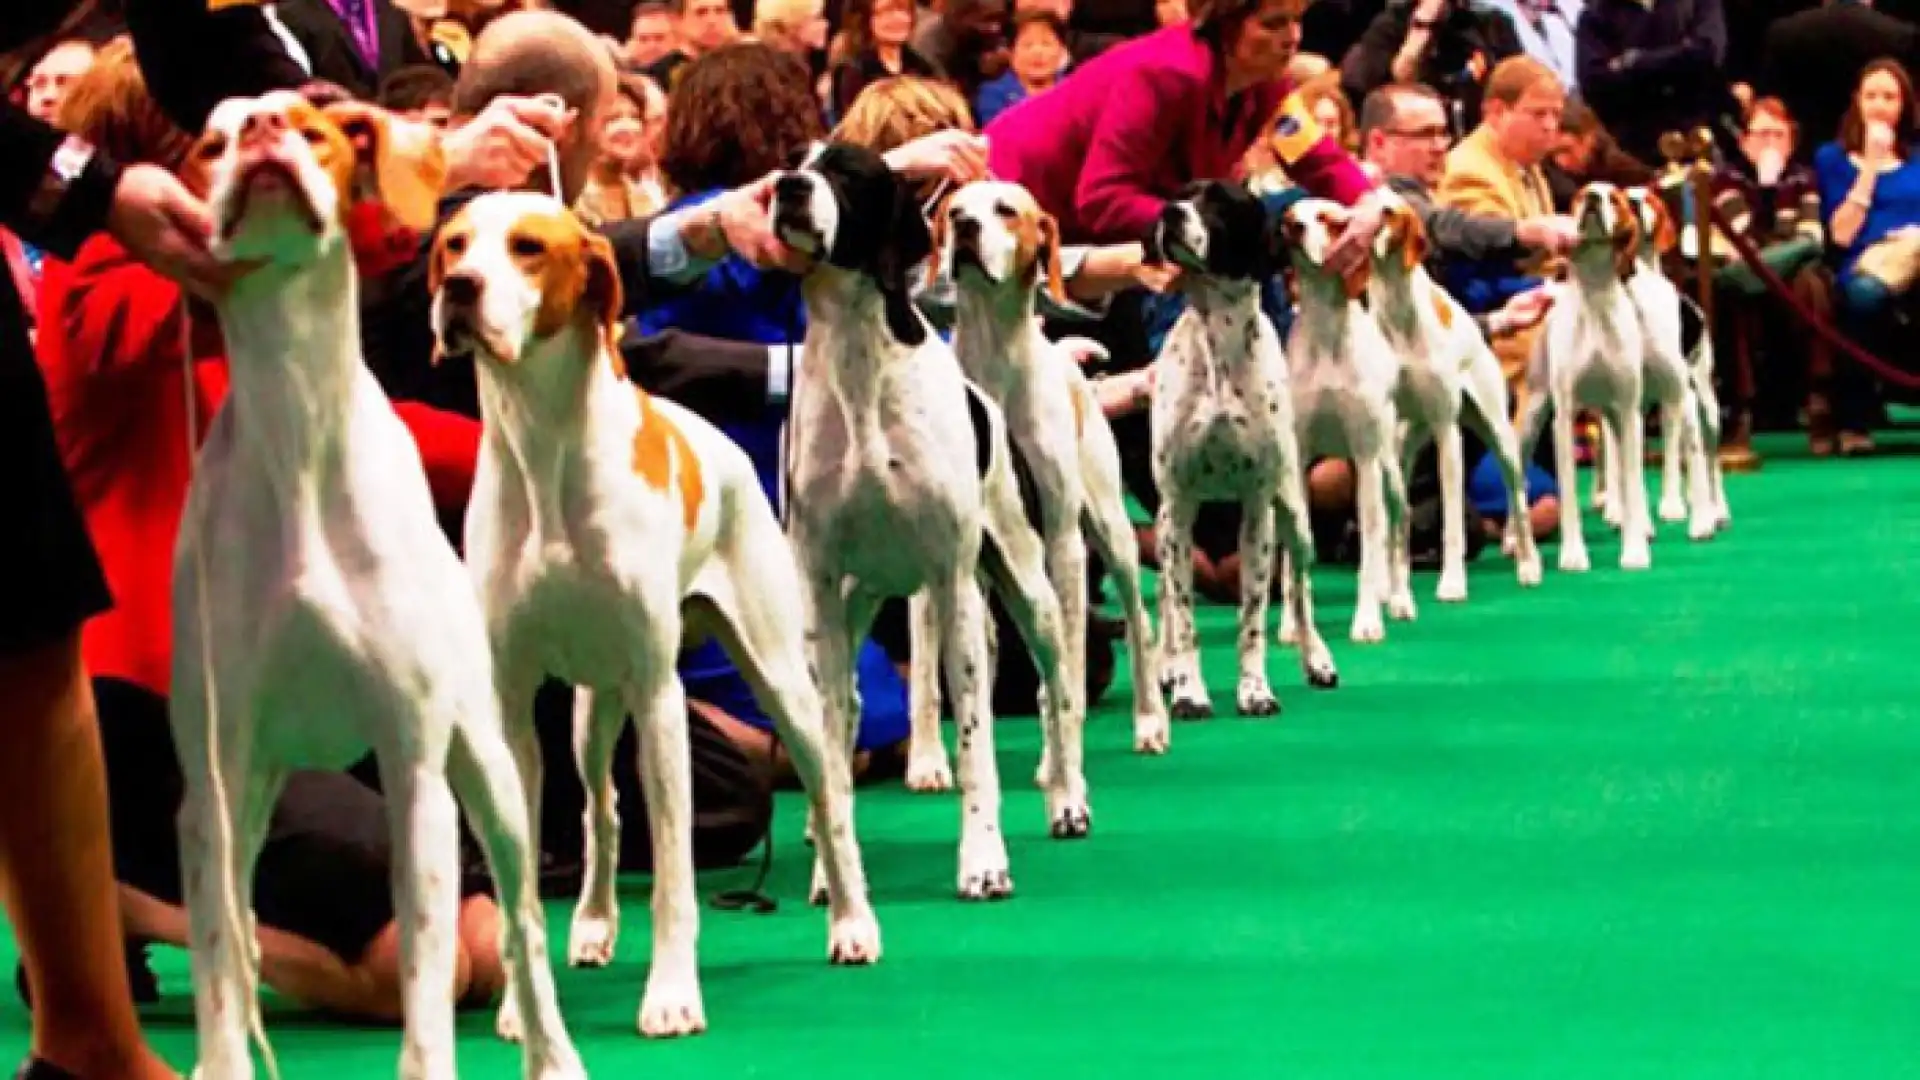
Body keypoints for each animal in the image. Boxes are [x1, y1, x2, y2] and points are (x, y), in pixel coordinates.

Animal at [172, 94, 576, 1076]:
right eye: (212, 143)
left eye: (311, 128)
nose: (264, 132)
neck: (297, 431)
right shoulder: (213, 775)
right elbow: (218, 963)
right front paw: (219, 1057)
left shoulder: (416, 765)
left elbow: (430, 979)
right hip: (254, 791)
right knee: (242, 926)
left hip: (493, 775)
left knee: (524, 925)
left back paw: (553, 1051)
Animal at [435, 187, 879, 1037]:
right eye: (451, 246)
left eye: (528, 247)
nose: (458, 290)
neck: (545, 450)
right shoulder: (512, 704)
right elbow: (523, 878)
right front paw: (523, 1006)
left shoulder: (657, 695)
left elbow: (675, 875)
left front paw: (672, 994)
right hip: (590, 713)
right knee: (601, 813)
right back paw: (594, 924)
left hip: (780, 681)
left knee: (829, 796)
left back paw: (852, 923)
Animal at [768, 145, 1090, 899]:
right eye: (794, 161)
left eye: (847, 173)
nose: (788, 188)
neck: (858, 363)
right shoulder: (820, 591)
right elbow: (832, 747)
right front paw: (835, 875)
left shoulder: (952, 585)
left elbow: (977, 746)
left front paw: (983, 860)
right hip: (851, 606)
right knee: (850, 706)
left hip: (1029, 589)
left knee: (1057, 689)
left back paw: (1067, 797)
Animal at [929, 178, 1167, 757]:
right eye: (954, 210)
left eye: (1005, 211)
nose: (965, 228)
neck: (996, 362)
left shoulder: (1061, 537)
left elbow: (1068, 662)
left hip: (1110, 530)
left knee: (1139, 620)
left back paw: (1150, 721)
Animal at [1136, 180, 1336, 718]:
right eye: (1180, 193)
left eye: (1220, 203)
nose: (1167, 213)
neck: (1218, 335)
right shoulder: (1179, 508)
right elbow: (1183, 615)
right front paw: (1189, 690)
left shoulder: (1257, 509)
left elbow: (1254, 617)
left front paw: (1255, 690)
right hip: (1167, 522)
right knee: (1165, 595)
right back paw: (1165, 667)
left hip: (1295, 515)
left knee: (1300, 587)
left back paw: (1318, 659)